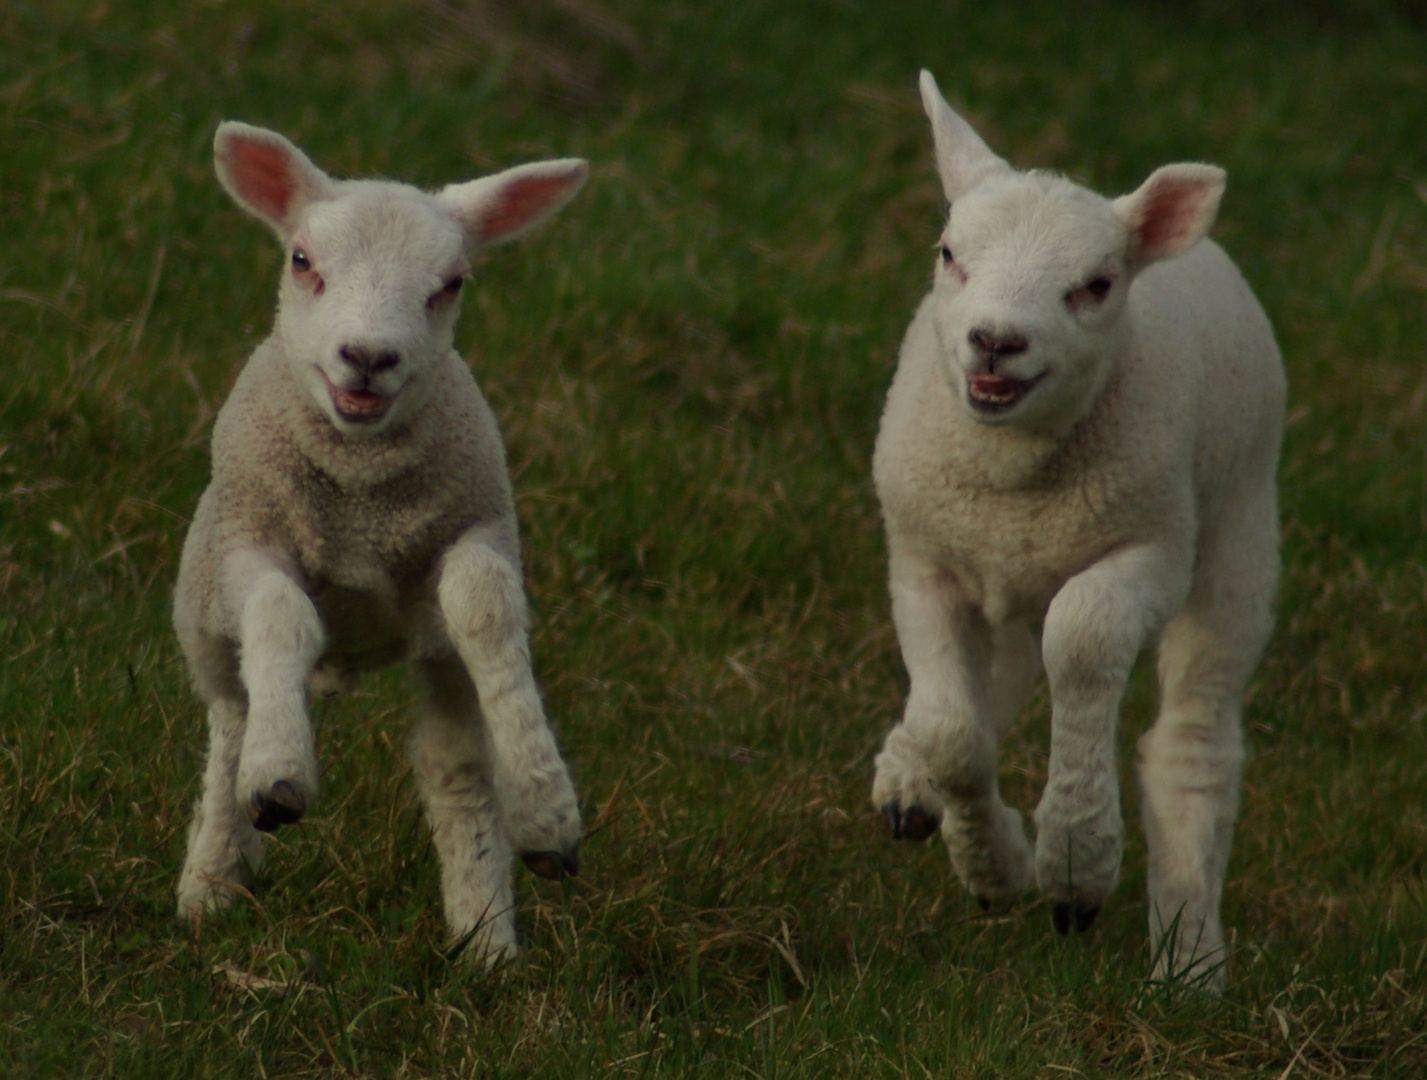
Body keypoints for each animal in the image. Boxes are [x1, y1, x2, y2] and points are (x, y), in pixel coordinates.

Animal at [175, 119, 587, 958]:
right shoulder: (248, 540)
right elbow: (280, 616)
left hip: (434, 656)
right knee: (231, 718)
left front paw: (546, 807)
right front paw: (280, 774)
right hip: (204, 611)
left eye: (451, 283)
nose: (368, 357)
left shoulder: (472, 527)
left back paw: (486, 939)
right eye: (302, 261)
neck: (361, 498)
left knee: (453, 763)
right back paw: (215, 875)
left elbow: (485, 608)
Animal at [867, 71, 1284, 987]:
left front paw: (1071, 865)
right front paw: (992, 865)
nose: (995, 341)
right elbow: (953, 731)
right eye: (947, 253)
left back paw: (1188, 963)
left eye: (1095, 285)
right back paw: (907, 777)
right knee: (998, 673)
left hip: (1238, 522)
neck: (1012, 475)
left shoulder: (1148, 548)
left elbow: (1084, 642)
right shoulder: (924, 557)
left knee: (1191, 743)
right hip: (1007, 573)